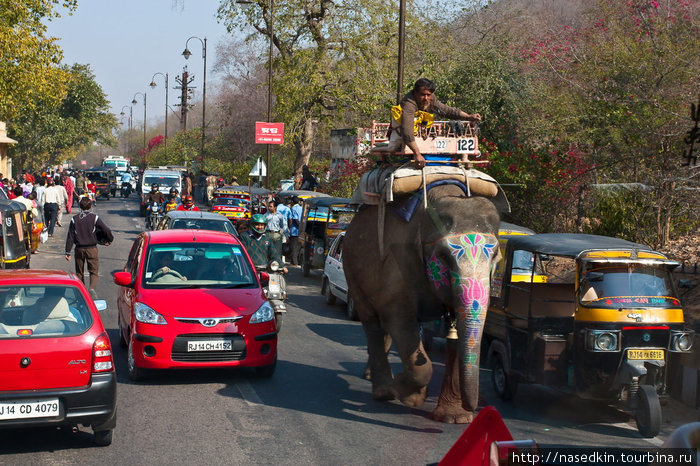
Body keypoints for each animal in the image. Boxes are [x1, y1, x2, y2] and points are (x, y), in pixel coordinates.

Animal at [344, 182, 498, 422]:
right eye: (444, 256)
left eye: (496, 255)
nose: (474, 408)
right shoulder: (399, 261)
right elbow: (398, 318)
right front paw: (407, 395)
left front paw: (455, 418)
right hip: (351, 270)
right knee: (372, 322)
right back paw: (384, 392)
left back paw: (373, 378)